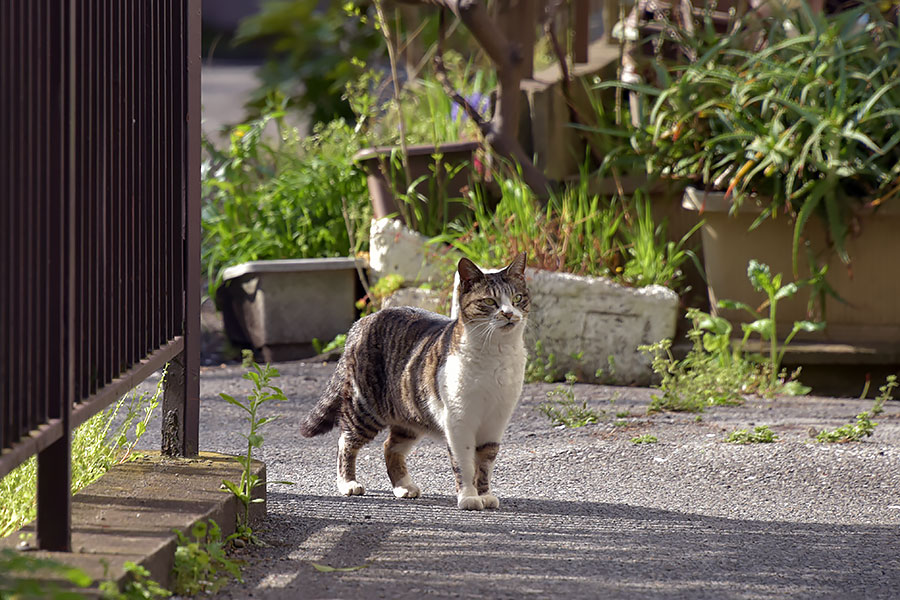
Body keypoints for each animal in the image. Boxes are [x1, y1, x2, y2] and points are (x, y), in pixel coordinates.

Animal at [302, 253, 528, 510]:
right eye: (490, 301)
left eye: (518, 298)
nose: (509, 313)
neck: (496, 355)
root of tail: (363, 321)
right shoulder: (459, 421)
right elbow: (465, 464)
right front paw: (469, 497)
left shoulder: (495, 422)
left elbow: (485, 462)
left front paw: (485, 494)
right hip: (365, 409)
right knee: (345, 440)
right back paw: (348, 483)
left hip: (410, 417)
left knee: (390, 447)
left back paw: (403, 486)